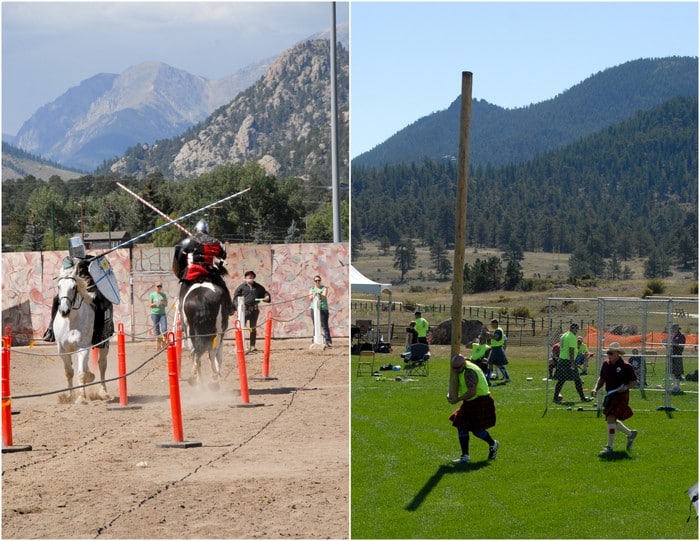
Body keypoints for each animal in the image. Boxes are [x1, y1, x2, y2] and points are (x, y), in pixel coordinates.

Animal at [54, 264, 110, 402]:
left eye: (74, 287)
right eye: (59, 286)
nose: (64, 311)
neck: (71, 322)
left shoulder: (83, 348)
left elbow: (81, 374)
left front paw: (82, 397)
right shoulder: (62, 350)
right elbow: (69, 372)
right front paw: (70, 396)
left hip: (104, 344)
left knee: (102, 365)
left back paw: (104, 392)